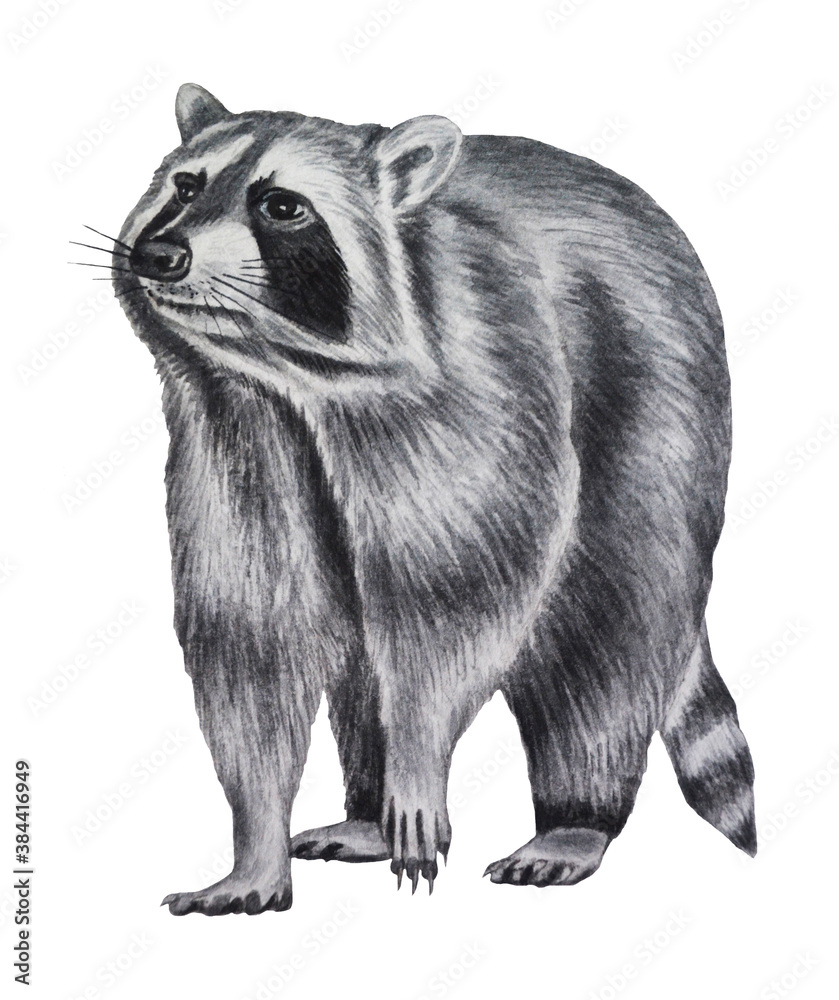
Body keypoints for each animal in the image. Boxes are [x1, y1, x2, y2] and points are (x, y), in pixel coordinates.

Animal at [109, 84, 756, 916]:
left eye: (282, 206)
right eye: (185, 186)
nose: (161, 254)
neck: (288, 374)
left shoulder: (479, 378)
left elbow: (454, 602)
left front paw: (418, 762)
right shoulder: (235, 433)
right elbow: (252, 636)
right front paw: (255, 846)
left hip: (661, 411)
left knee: (606, 636)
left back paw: (575, 817)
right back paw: (367, 814)